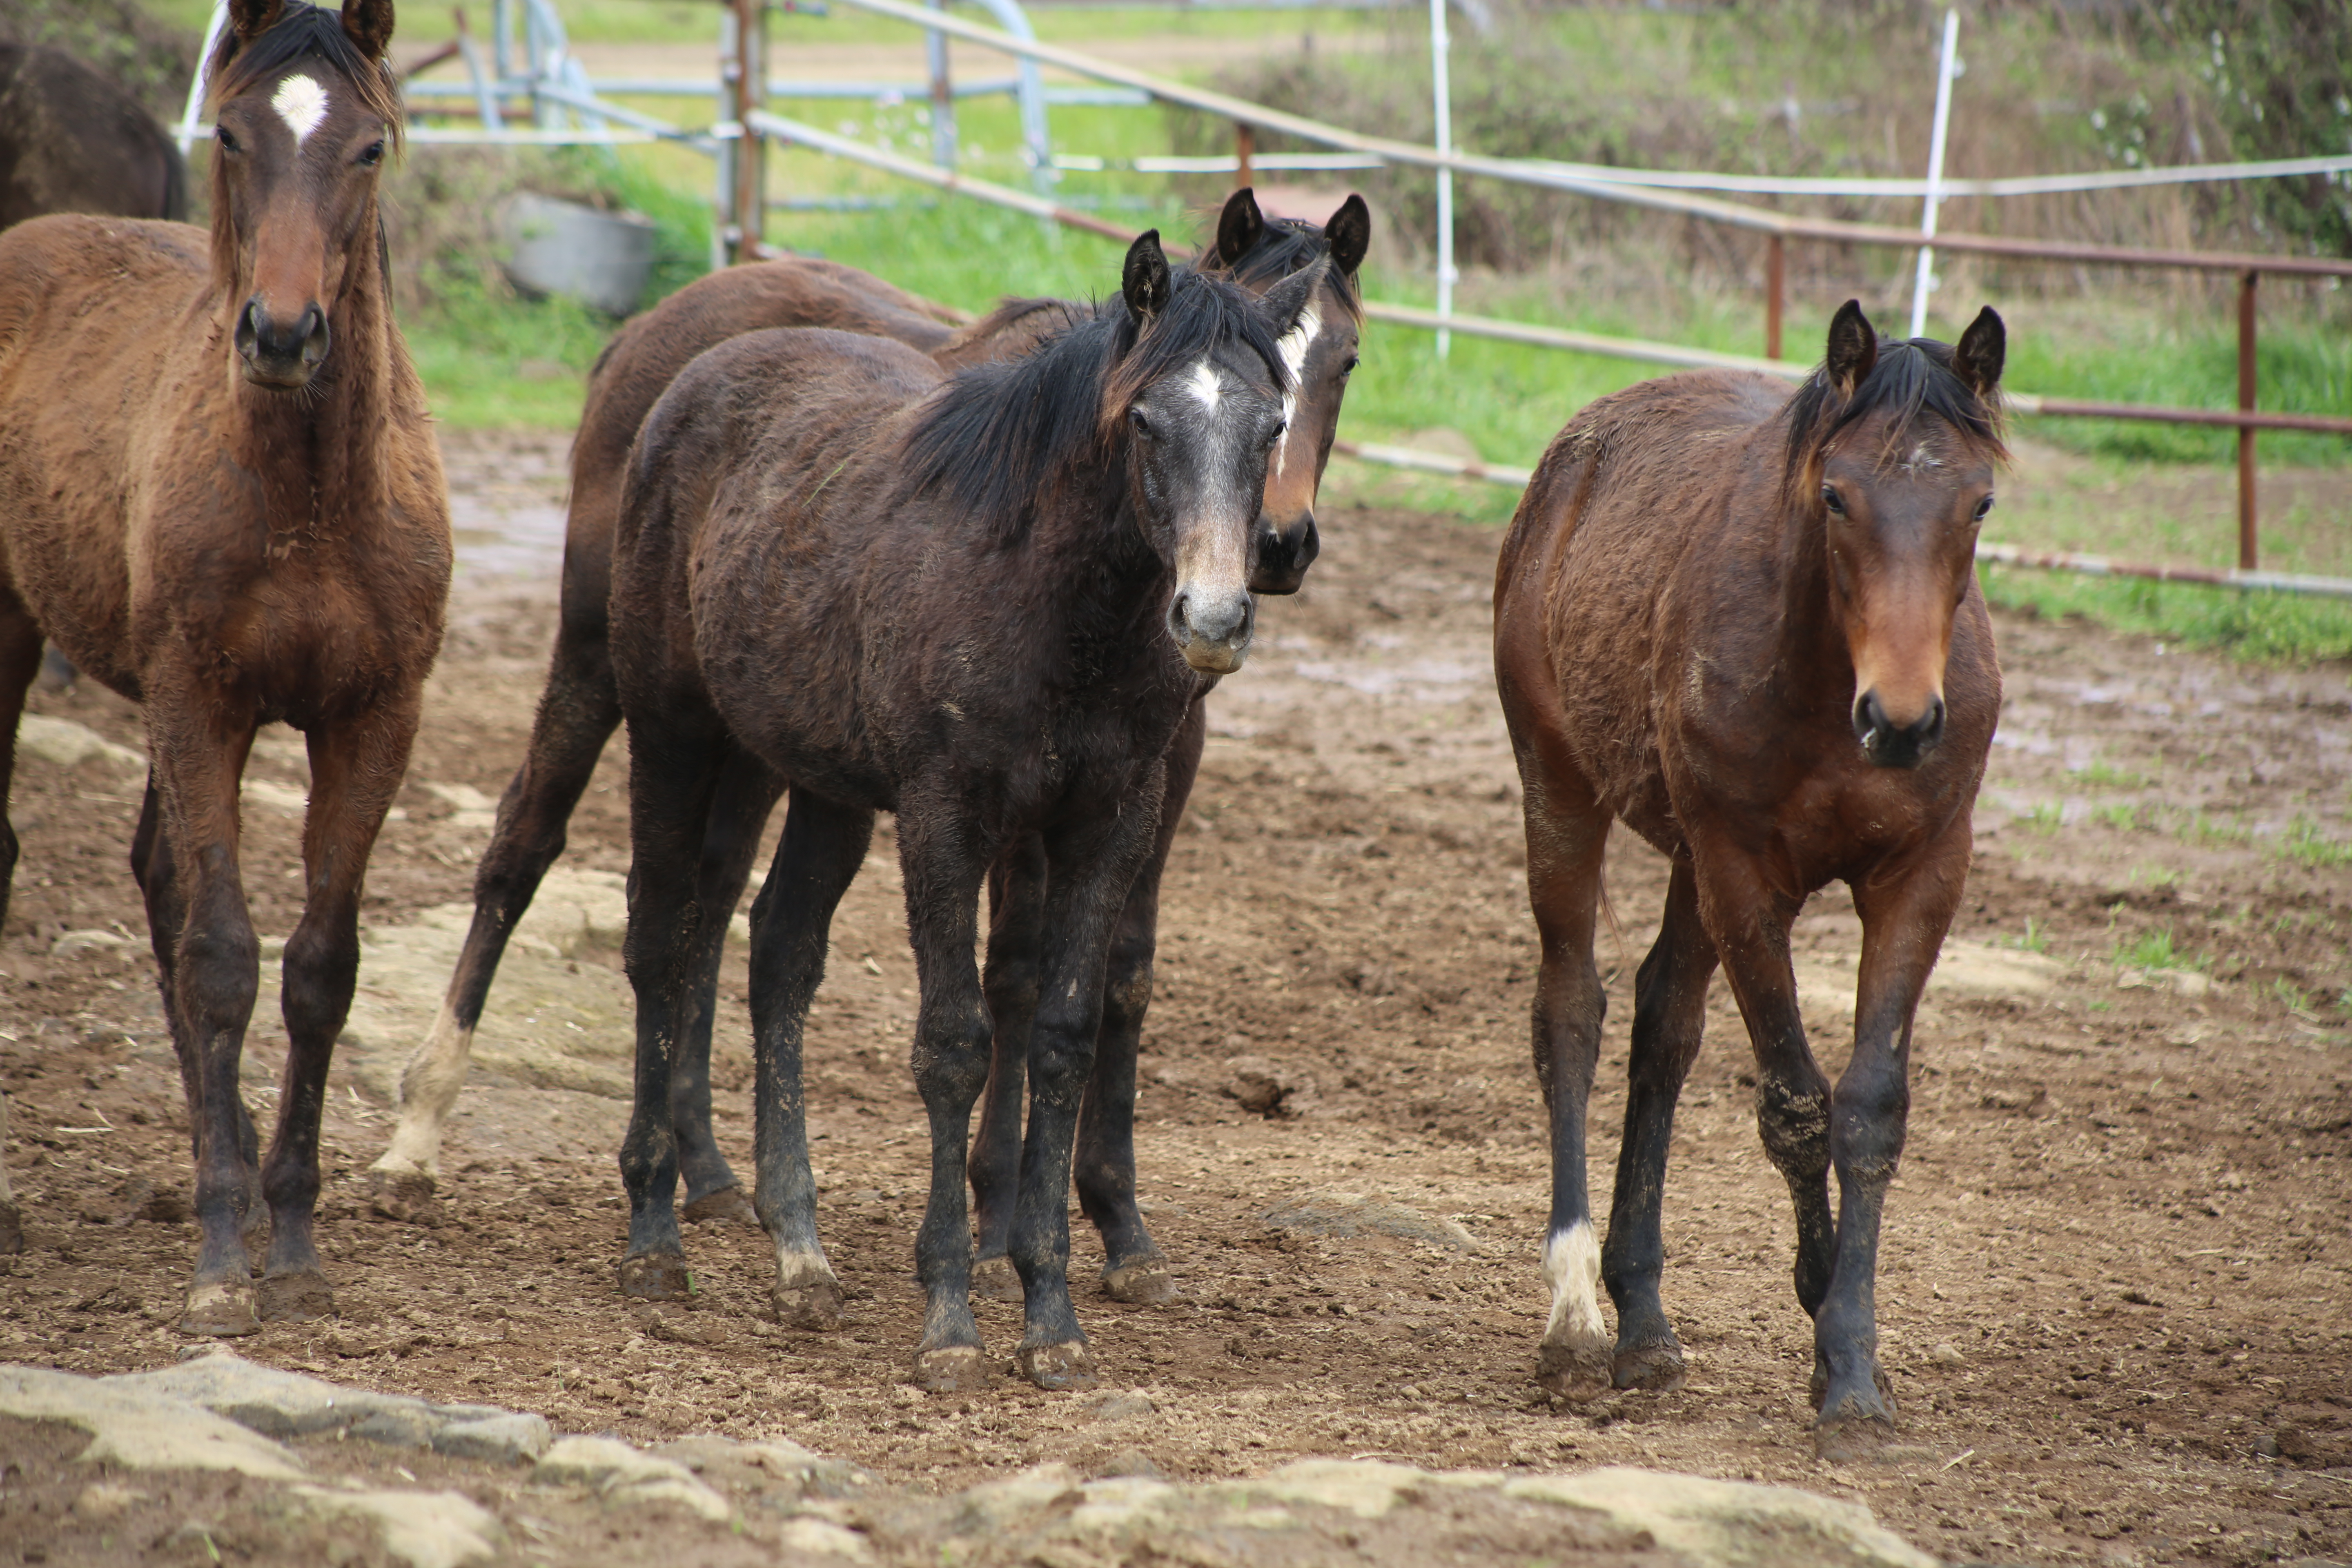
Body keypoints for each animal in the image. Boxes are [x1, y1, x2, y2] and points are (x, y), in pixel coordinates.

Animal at [0, 0, 449, 1326]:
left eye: (370, 147)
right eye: (238, 135)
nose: (284, 335)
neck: (309, 497)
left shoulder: (374, 717)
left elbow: (317, 968)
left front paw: (287, 1233)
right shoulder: (203, 700)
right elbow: (220, 956)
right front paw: (215, 1255)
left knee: (157, 875)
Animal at [607, 232, 1326, 1382]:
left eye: (1271, 424)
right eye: (1145, 420)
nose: (1212, 618)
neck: (1048, 600)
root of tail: (693, 372)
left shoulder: (1106, 823)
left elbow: (1062, 1037)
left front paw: (1051, 1314)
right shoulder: (945, 817)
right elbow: (953, 1046)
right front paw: (950, 1316)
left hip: (822, 786)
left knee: (779, 955)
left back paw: (800, 1253)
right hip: (673, 733)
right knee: (660, 940)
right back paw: (654, 1237)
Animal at [1496, 297, 2013, 1457]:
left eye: (1979, 500)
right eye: (1835, 494)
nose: (1901, 722)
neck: (1828, 683)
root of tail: (1571, 456)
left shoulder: (1922, 875)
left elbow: (1867, 1109)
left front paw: (1852, 1362)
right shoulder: (1742, 874)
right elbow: (1794, 1104)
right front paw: (1825, 1313)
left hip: (1687, 859)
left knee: (1660, 1028)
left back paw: (1642, 1318)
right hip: (1562, 790)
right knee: (1571, 1012)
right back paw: (1572, 1311)